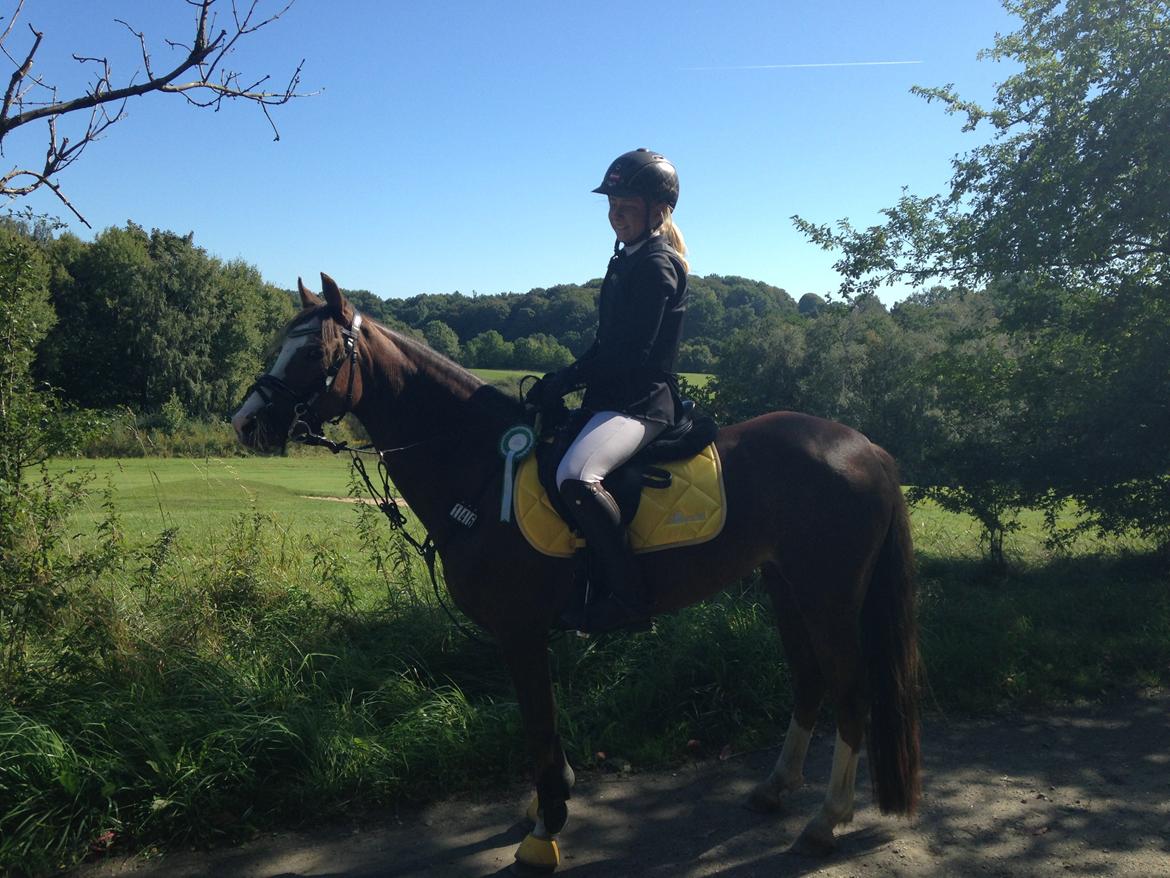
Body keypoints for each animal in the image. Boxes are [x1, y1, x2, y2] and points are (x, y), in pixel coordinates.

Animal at [231, 273, 921, 871]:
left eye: (313, 352)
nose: (245, 422)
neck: (481, 462)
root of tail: (868, 448)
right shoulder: (528, 633)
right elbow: (543, 725)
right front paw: (548, 799)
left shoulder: (520, 631)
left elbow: (539, 724)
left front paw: (546, 827)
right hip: (786, 589)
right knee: (809, 683)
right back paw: (775, 789)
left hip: (828, 597)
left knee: (850, 693)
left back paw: (826, 821)